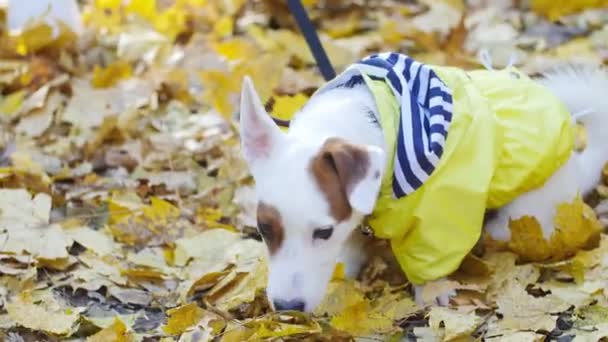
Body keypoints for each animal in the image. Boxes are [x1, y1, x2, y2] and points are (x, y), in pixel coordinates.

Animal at [236, 51, 608, 312]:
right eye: (263, 228)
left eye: (323, 232)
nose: (287, 308)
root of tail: (575, 166)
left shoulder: (437, 215)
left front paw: (433, 290)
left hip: (524, 219)